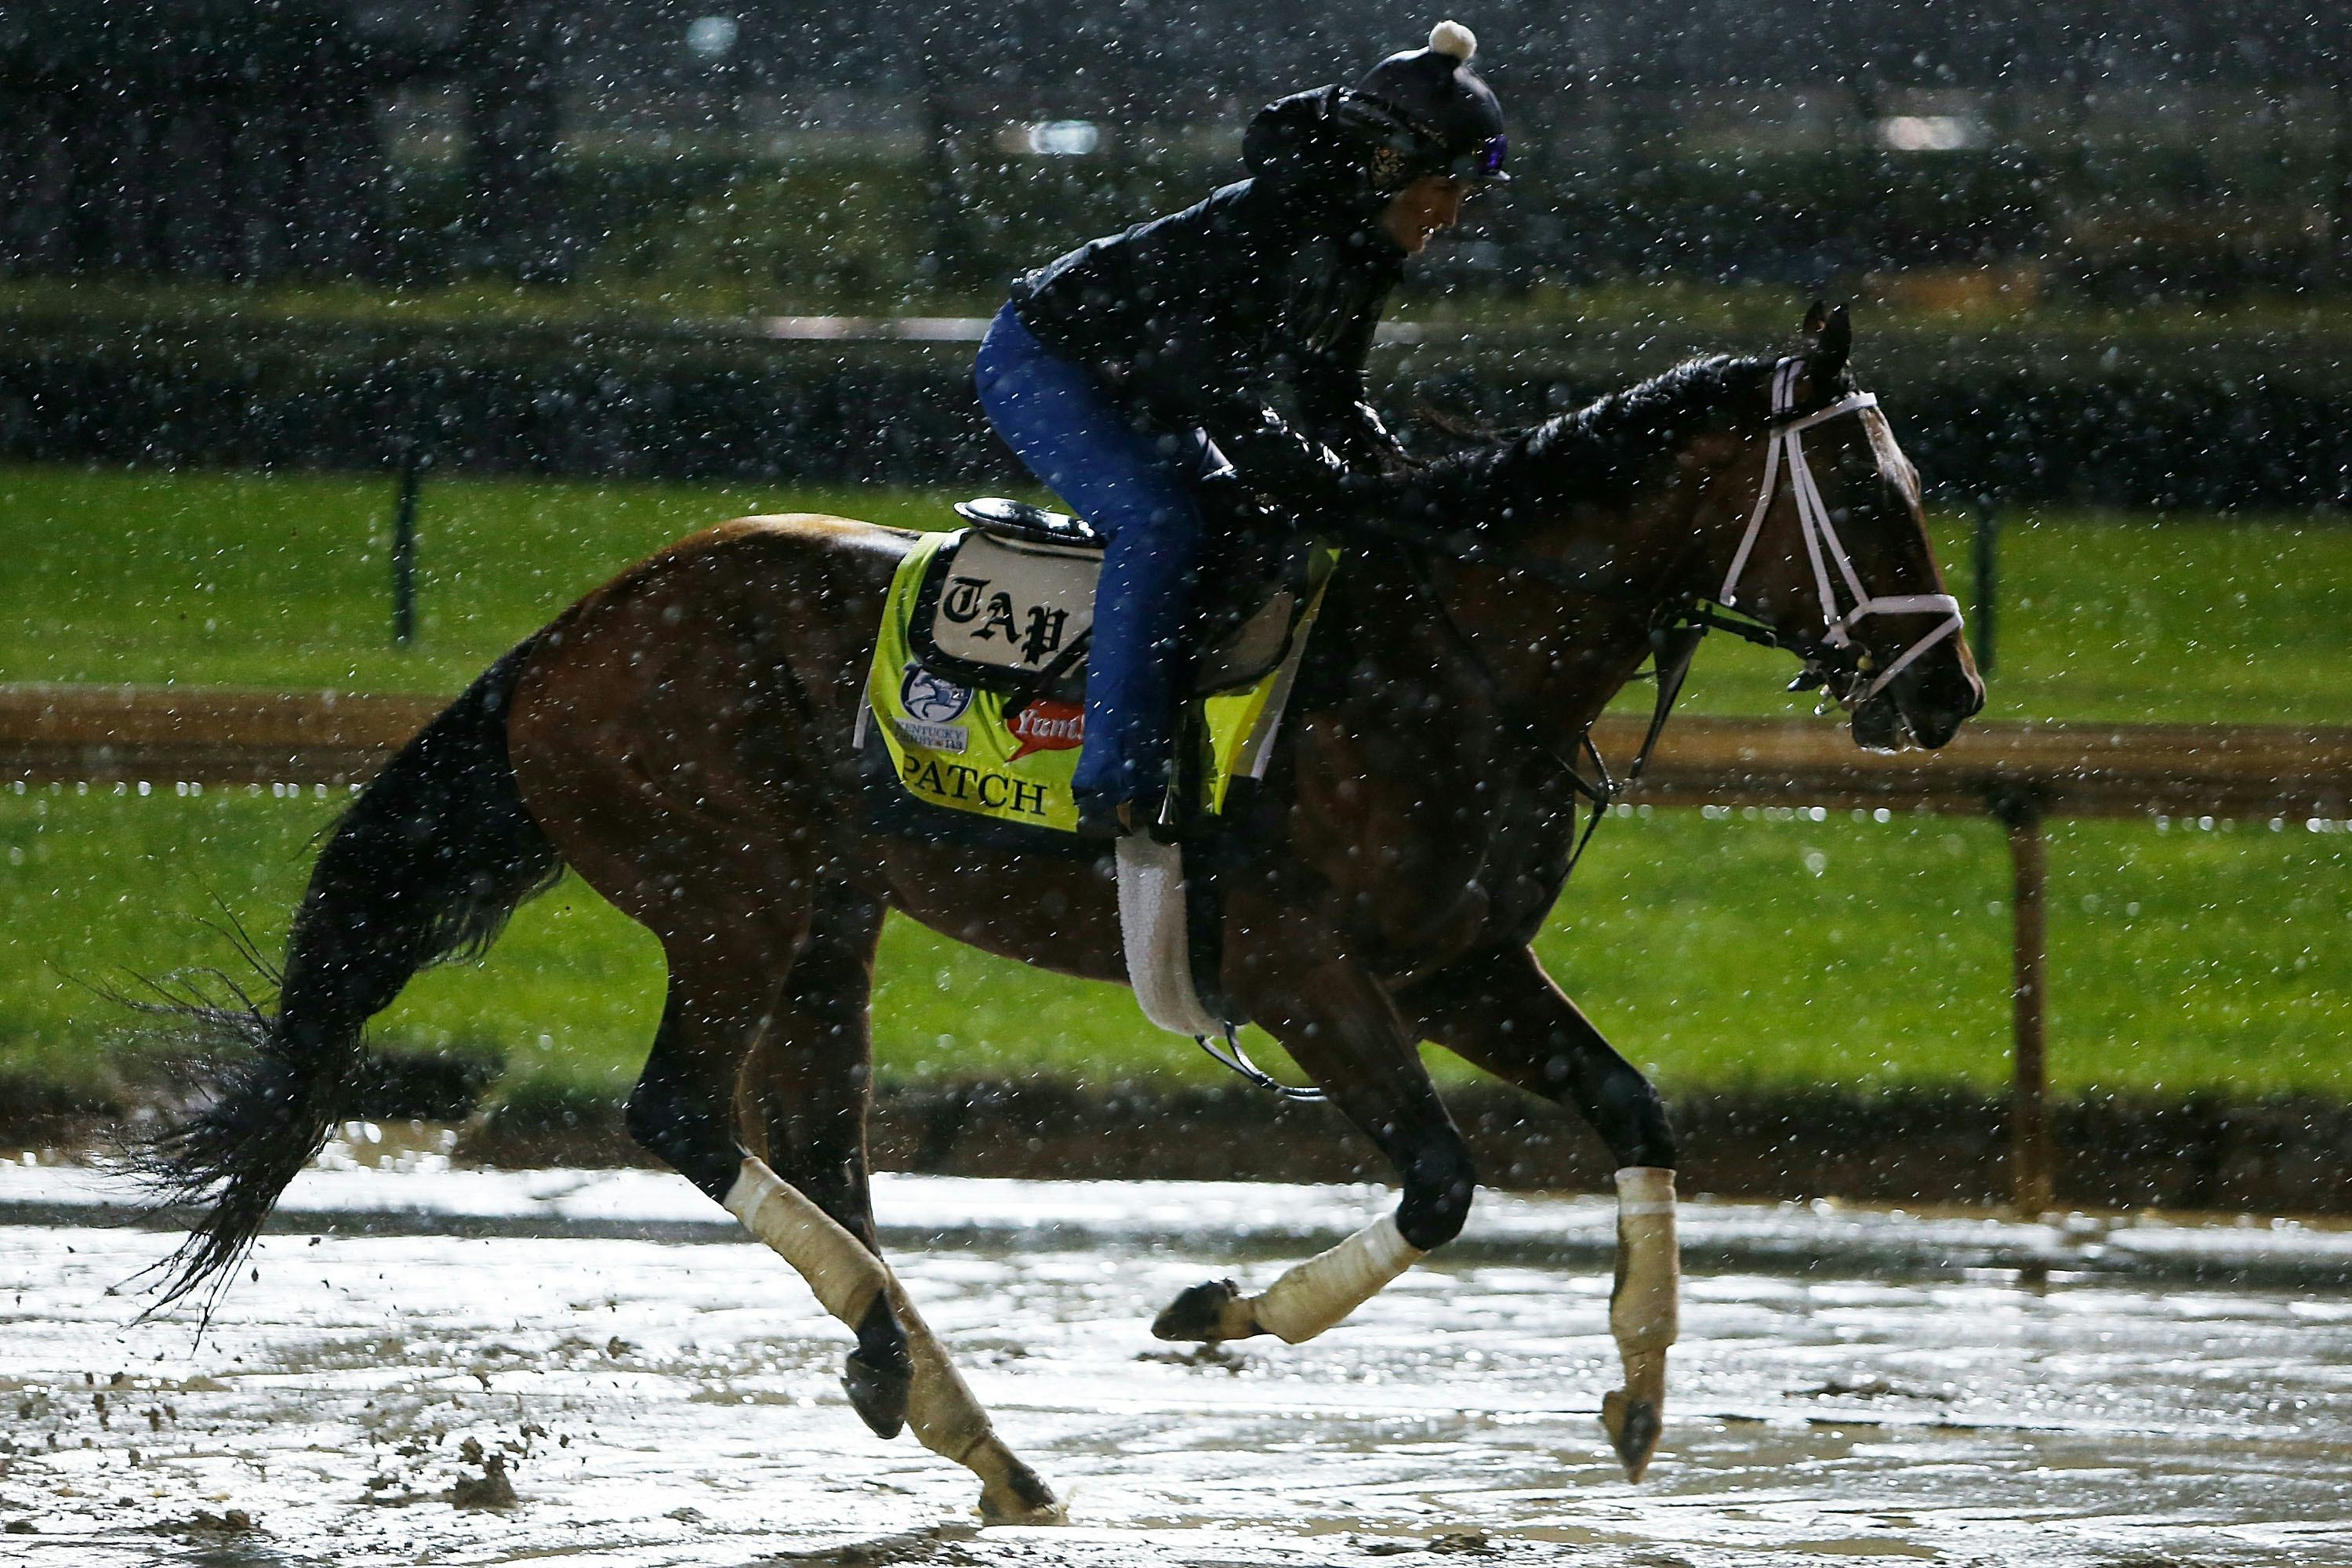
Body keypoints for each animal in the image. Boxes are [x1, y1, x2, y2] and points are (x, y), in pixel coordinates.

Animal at [135, 304, 1983, 1521]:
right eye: (1866, 494)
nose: (1950, 689)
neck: (1451, 653)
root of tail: (568, 633)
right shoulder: (1310, 966)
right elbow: (1444, 1185)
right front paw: (1214, 1312)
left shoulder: (1458, 959)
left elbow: (1632, 1105)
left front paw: (1640, 1385)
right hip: (731, 895)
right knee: (682, 1111)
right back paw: (940, 1393)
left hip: (833, 911)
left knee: (817, 1132)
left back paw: (931, 1396)